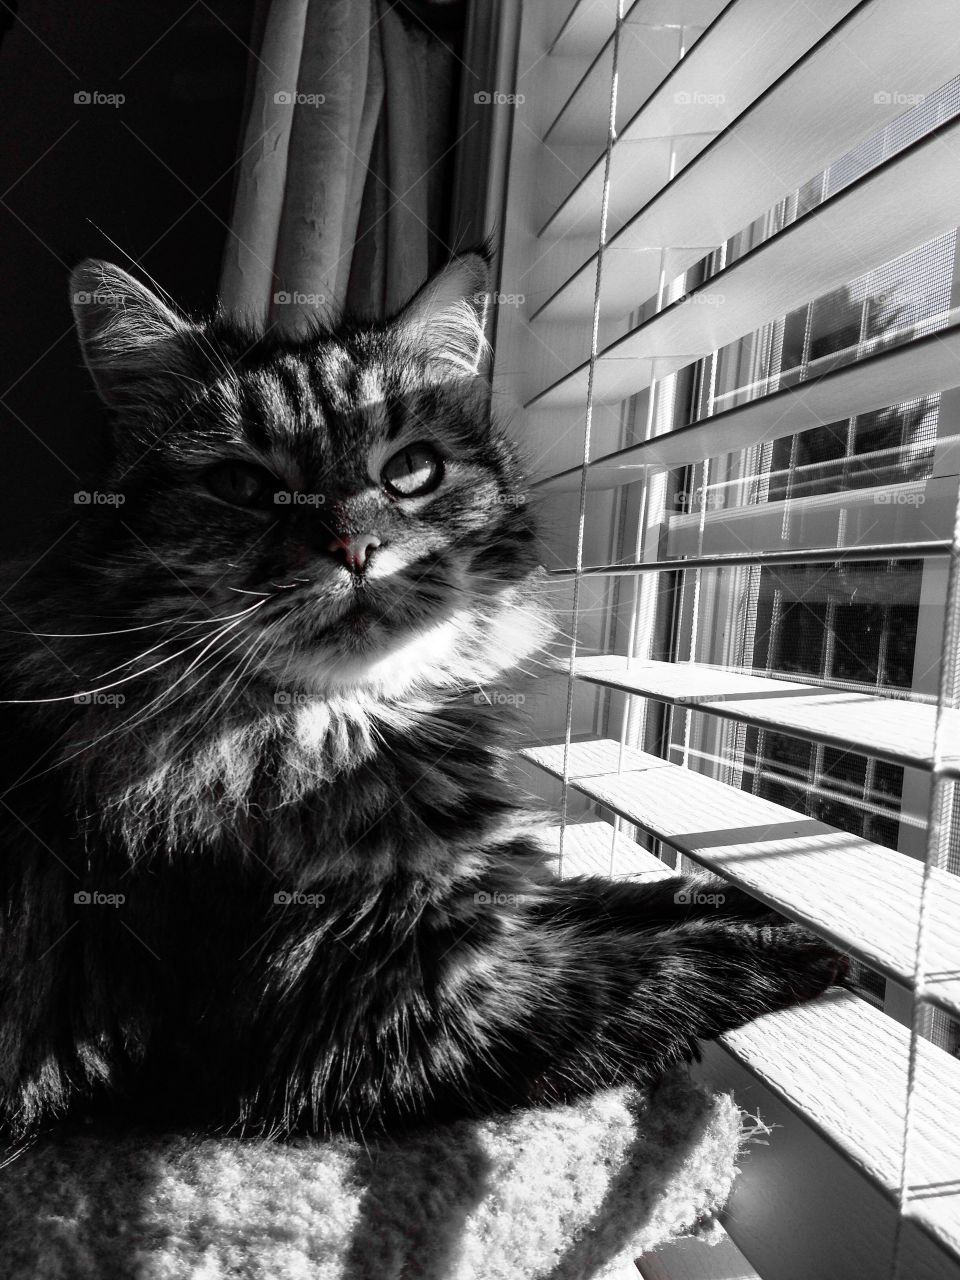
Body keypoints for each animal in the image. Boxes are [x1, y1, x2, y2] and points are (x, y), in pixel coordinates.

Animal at [0, 252, 839, 1141]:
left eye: (410, 471)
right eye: (240, 484)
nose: (355, 547)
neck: (348, 730)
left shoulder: (486, 899)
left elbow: (597, 895)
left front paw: (737, 898)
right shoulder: (374, 1021)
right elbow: (639, 974)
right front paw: (787, 947)